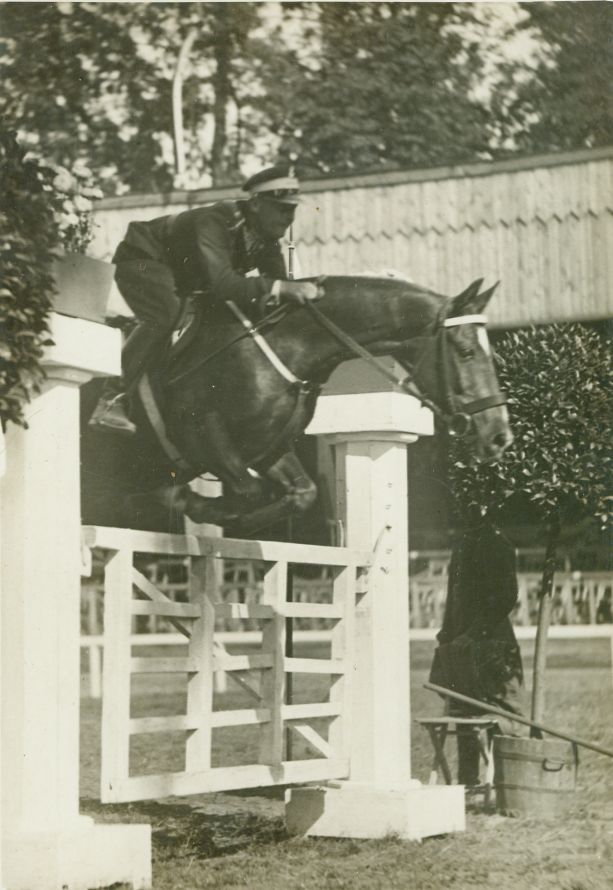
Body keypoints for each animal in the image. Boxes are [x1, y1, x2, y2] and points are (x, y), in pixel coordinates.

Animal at [80, 275, 512, 536]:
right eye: (466, 352)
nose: (499, 436)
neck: (285, 345)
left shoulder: (265, 448)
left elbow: (300, 492)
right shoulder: (203, 434)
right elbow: (248, 490)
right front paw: (194, 504)